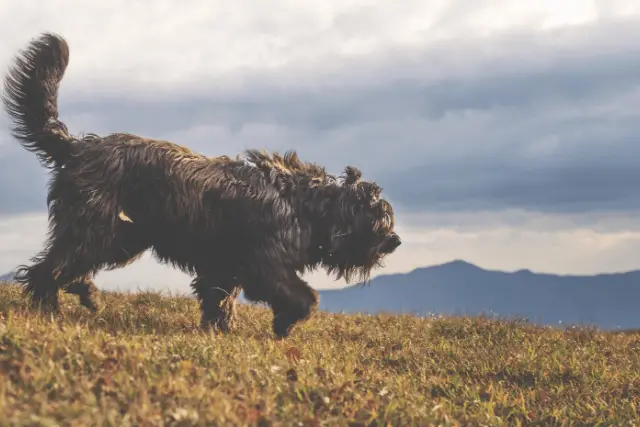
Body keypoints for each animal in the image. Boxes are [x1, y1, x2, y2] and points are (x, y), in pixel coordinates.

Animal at [2, 32, 402, 338]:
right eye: (378, 219)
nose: (395, 241)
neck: (303, 202)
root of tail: (79, 146)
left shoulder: (224, 266)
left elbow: (218, 299)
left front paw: (220, 329)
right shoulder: (265, 263)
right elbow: (302, 297)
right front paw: (284, 324)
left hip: (122, 235)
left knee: (64, 264)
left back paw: (81, 294)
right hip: (98, 228)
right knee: (50, 267)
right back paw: (50, 304)